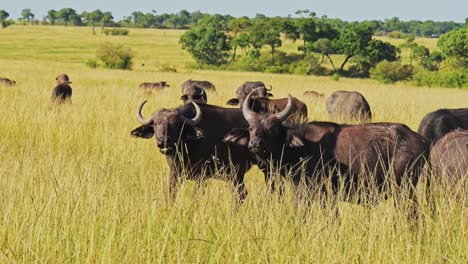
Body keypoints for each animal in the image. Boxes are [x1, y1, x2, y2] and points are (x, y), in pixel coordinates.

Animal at [225, 91, 430, 208]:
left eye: (273, 129)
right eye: (251, 128)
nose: (255, 143)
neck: (304, 148)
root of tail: (420, 139)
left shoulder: (325, 195)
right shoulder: (301, 192)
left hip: (404, 191)